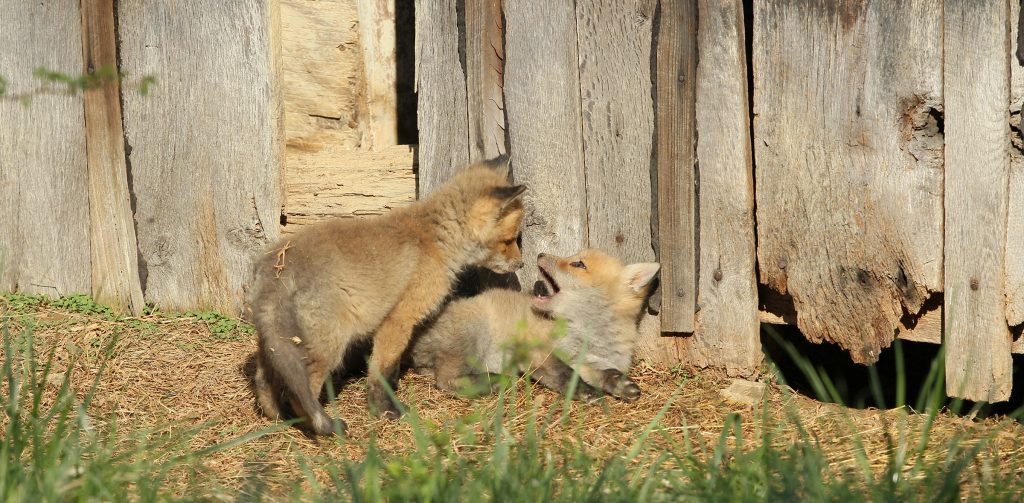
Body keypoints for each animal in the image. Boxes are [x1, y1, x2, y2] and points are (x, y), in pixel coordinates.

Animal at [247, 156, 526, 435]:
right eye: (509, 240)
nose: (521, 264)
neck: (435, 241)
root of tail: (278, 262)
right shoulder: (400, 319)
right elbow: (383, 370)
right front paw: (385, 409)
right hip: (329, 344)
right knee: (300, 392)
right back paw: (321, 427)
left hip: (275, 341)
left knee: (263, 378)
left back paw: (276, 416)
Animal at [409, 249, 660, 401]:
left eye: (578, 264)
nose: (540, 253)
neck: (586, 334)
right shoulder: (538, 350)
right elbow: (564, 373)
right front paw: (581, 391)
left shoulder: (583, 359)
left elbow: (602, 372)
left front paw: (619, 384)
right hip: (474, 332)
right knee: (446, 379)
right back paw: (494, 381)